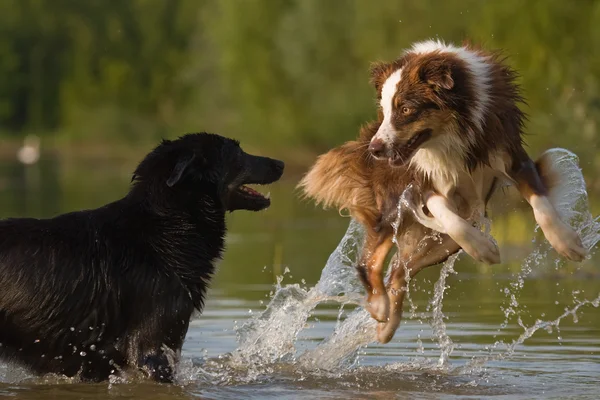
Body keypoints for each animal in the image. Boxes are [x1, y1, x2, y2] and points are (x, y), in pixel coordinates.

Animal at [300, 39, 584, 342]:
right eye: (384, 111)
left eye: (405, 109)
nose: (375, 150)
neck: (452, 135)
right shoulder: (422, 183)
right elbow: (450, 218)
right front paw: (485, 250)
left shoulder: (512, 156)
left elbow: (541, 203)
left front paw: (567, 242)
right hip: (393, 211)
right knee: (370, 262)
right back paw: (379, 308)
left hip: (442, 244)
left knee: (399, 271)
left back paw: (387, 326)